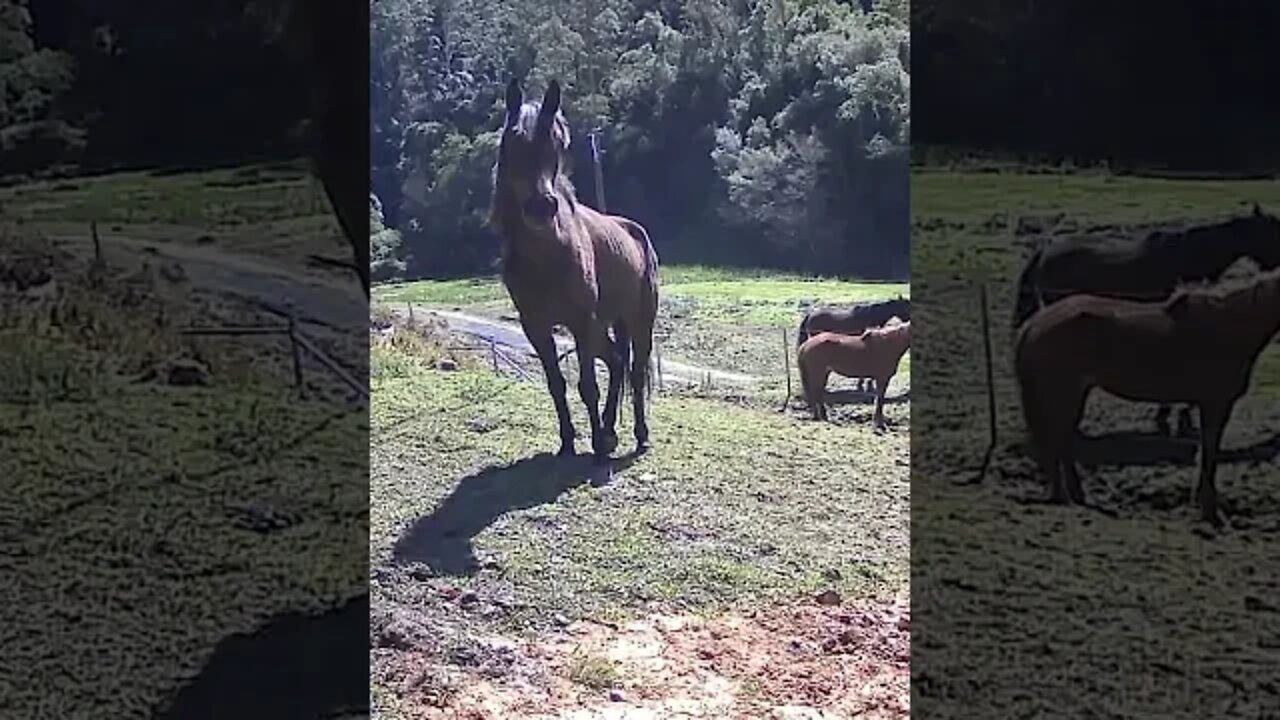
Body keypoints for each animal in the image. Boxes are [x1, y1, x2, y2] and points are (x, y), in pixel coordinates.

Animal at [491, 78, 660, 463]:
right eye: (512, 140)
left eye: (558, 142)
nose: (541, 207)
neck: (547, 257)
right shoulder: (536, 327)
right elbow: (557, 384)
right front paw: (568, 442)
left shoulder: (582, 321)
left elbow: (588, 386)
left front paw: (596, 446)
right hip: (606, 325)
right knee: (617, 361)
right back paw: (611, 431)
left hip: (638, 320)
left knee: (635, 372)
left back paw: (638, 436)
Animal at [1014, 268, 1280, 528]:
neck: (1228, 324)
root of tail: (1035, 322)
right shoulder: (1216, 405)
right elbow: (1209, 456)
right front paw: (1210, 511)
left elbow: (1205, 453)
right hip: (1065, 393)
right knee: (1057, 441)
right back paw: (1065, 495)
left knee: (1062, 440)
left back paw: (1076, 495)